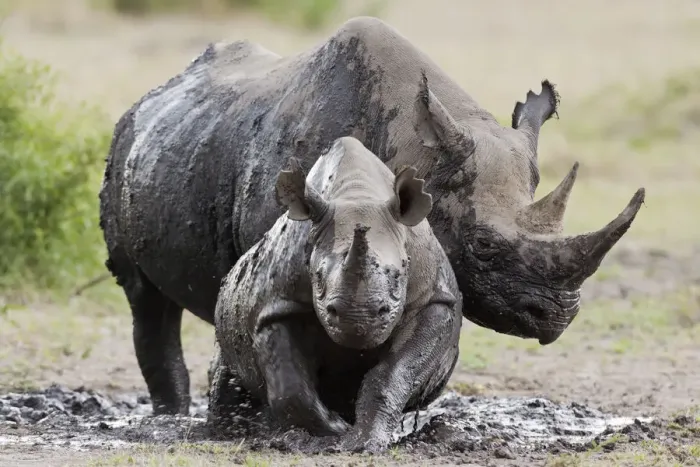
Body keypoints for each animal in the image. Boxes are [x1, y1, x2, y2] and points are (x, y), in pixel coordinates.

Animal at [99, 16, 645, 415]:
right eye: (484, 247)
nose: (558, 315)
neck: (418, 150)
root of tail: (157, 92)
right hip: (125, 139)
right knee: (144, 298)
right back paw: (172, 414)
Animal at [209, 136, 462, 452]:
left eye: (400, 273)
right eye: (317, 276)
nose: (358, 319)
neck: (357, 194)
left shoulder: (433, 301)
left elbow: (393, 374)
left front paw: (364, 443)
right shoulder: (278, 308)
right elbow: (290, 387)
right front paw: (335, 432)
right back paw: (225, 430)